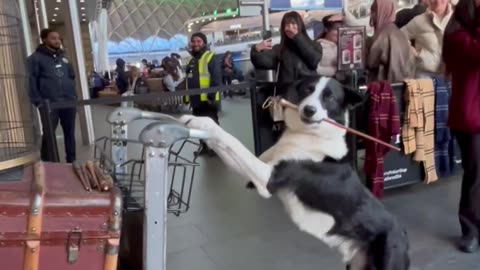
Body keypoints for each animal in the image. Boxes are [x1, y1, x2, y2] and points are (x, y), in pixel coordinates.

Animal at [179, 76, 408, 270]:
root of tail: (402, 232)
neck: (310, 135)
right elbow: (224, 143)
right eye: (308, 90)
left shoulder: (267, 179)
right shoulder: (254, 176)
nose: (309, 110)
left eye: (330, 97)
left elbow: (231, 140)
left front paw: (199, 121)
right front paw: (195, 123)